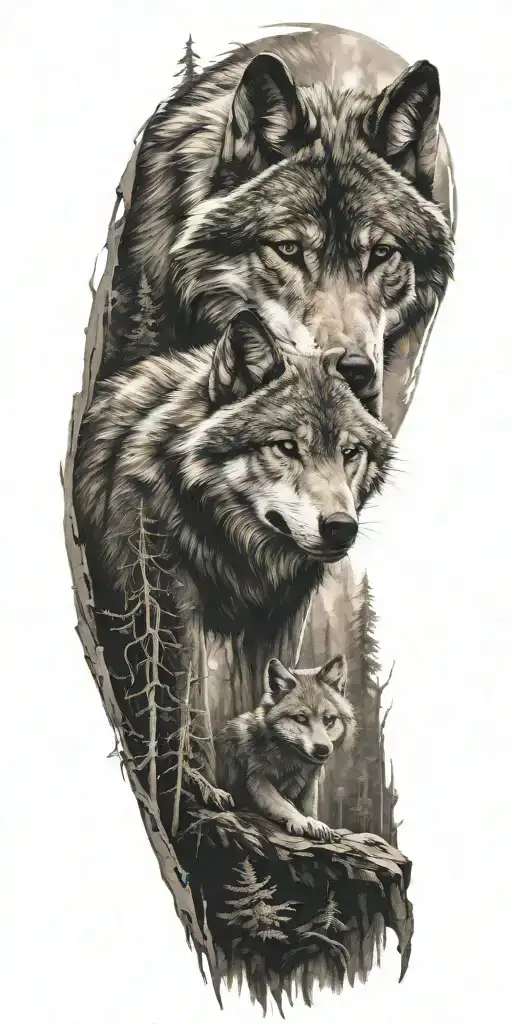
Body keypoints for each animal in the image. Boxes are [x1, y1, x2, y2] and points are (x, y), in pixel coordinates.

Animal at [214, 653, 356, 841]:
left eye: (329, 720)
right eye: (301, 718)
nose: (322, 749)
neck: (291, 760)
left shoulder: (310, 782)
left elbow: (308, 808)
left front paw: (316, 823)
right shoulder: (256, 779)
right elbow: (281, 804)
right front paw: (302, 822)